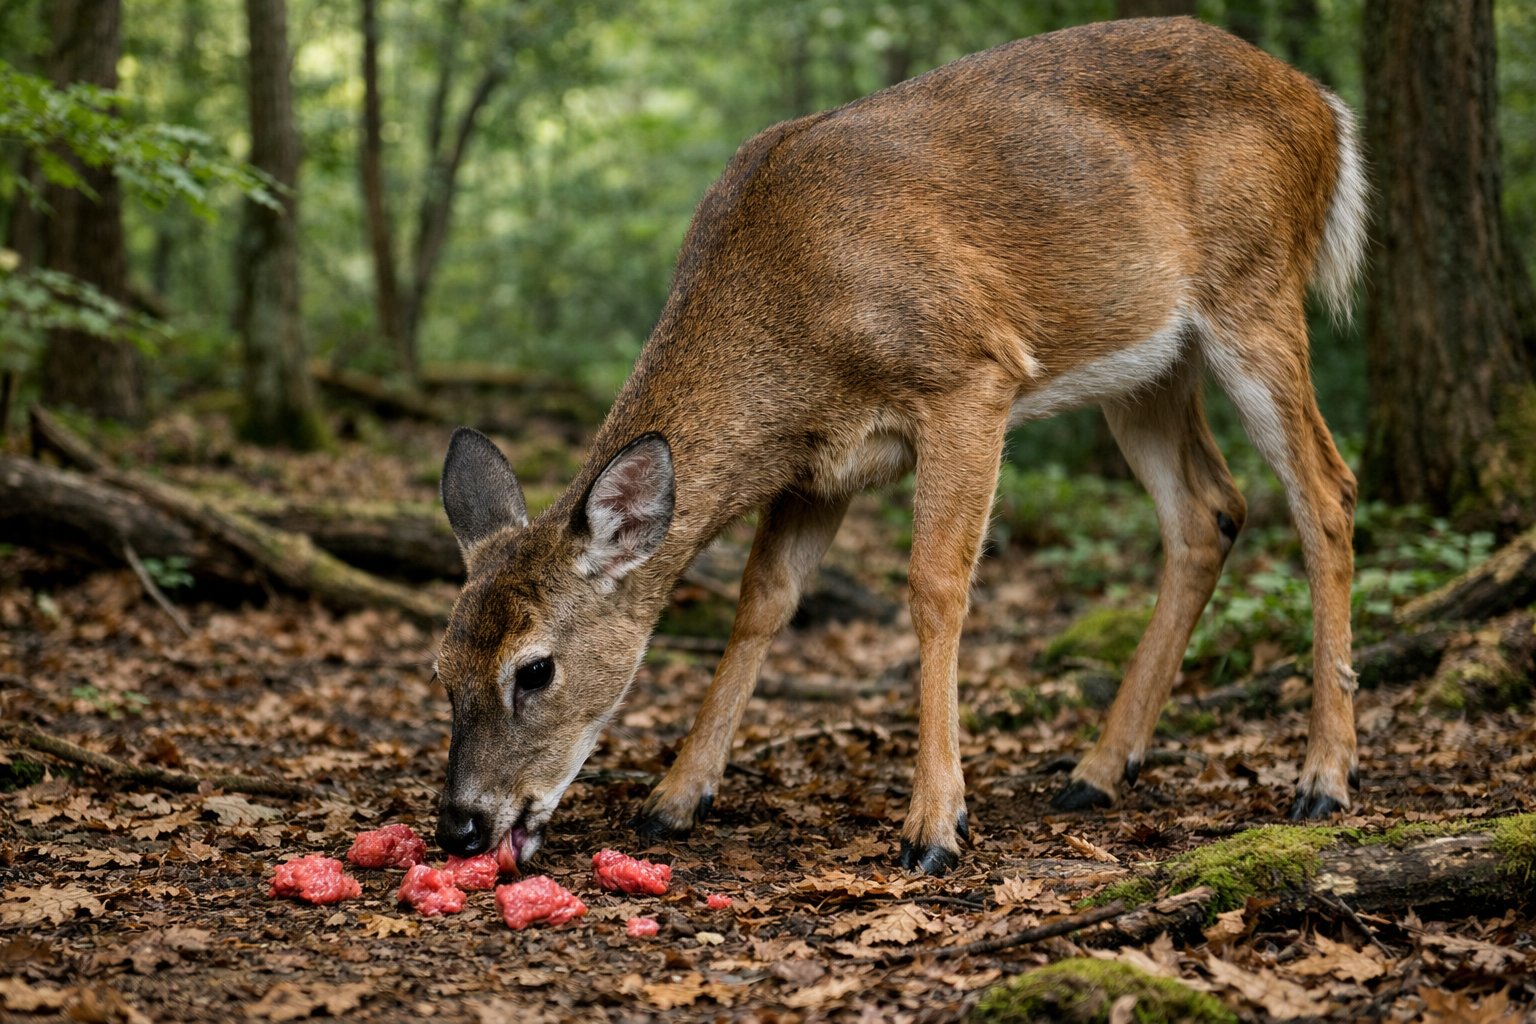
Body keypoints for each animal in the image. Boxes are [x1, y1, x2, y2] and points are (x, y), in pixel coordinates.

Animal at [432, 16, 1368, 876]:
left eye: (535, 670)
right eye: (443, 670)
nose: (461, 827)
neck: (793, 316)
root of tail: (1324, 105)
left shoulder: (969, 375)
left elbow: (935, 586)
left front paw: (935, 824)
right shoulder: (818, 466)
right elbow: (763, 599)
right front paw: (675, 796)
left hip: (1256, 289)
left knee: (1326, 488)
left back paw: (1324, 777)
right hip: (1145, 366)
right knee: (1209, 510)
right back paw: (1099, 770)